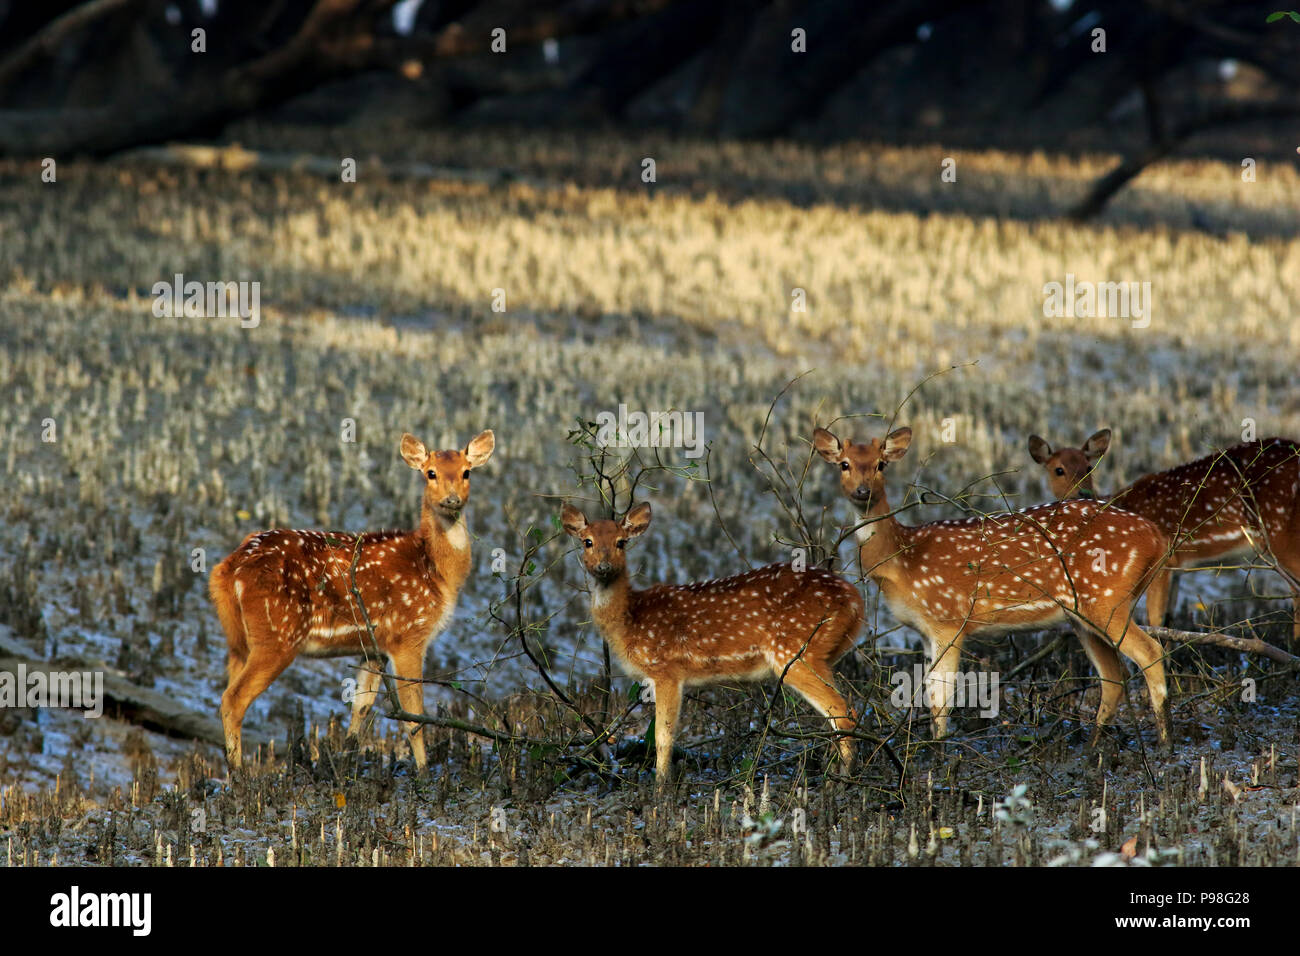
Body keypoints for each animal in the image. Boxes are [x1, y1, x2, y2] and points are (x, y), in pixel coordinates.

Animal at [210, 429, 493, 775]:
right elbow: (413, 717)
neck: (436, 572)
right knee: (233, 699)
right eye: (431, 473)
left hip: (238, 640)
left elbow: (361, 708)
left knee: (227, 691)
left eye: (467, 472)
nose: (452, 500)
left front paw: (346, 766)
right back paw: (239, 775)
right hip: (277, 633)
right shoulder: (408, 635)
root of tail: (228, 568)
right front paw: (425, 773)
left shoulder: (374, 648)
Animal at [559, 502, 863, 785]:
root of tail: (855, 600)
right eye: (587, 541)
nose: (603, 567)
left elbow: (663, 736)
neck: (631, 620)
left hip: (797, 651)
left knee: (844, 713)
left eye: (621, 542)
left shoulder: (667, 670)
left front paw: (661, 790)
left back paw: (842, 782)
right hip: (819, 654)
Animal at [816, 424, 1175, 749]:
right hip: (1082, 614)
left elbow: (942, 699)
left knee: (1150, 653)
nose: (862, 491)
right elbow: (930, 694)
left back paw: (1165, 747)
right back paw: (1092, 754)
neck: (902, 560)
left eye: (881, 464)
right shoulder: (924, 630)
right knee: (1113, 677)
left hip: (1108, 599)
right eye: (844, 464)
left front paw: (940, 757)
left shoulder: (949, 620)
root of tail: (1156, 537)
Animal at [1029, 429, 1300, 639]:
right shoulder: (1179, 567)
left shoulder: (1165, 561)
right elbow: (1169, 621)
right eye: (1058, 470)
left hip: (1279, 530)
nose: (1082, 493)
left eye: (1088, 467)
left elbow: (1155, 620)